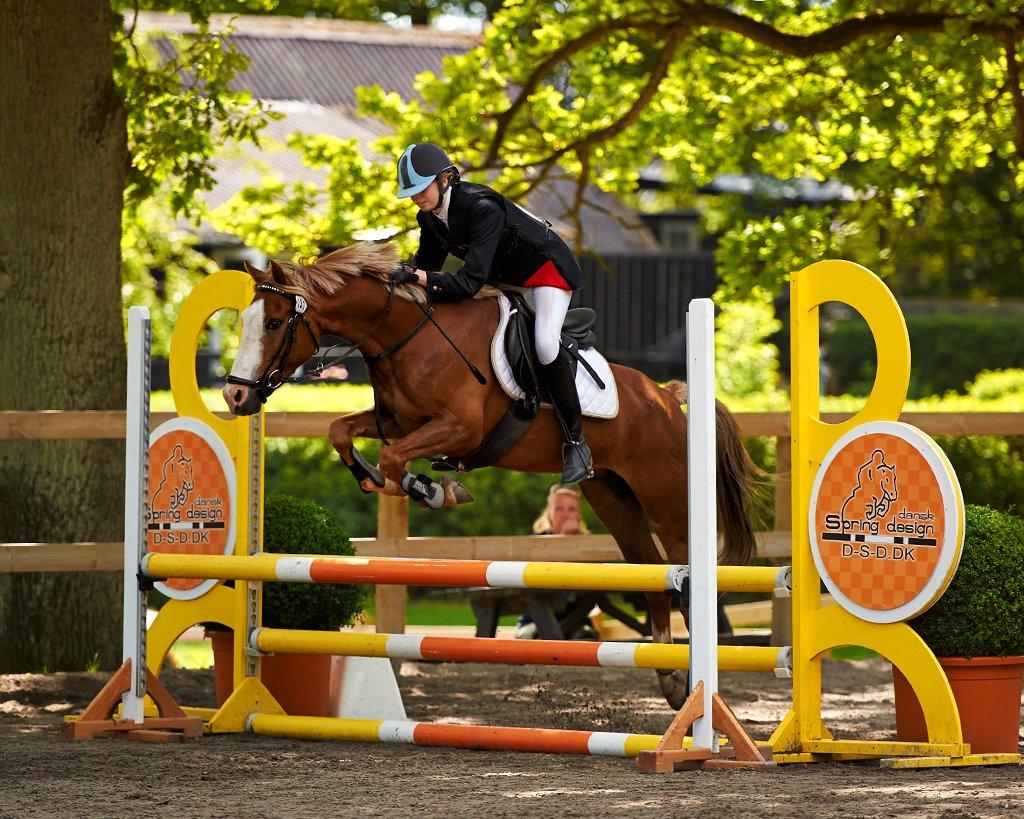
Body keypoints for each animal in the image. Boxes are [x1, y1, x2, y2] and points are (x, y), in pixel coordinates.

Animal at [222, 239, 761, 708]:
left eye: (274, 323)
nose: (234, 396)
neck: (404, 333)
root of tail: (666, 398)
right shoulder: (396, 423)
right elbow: (340, 431)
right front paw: (375, 478)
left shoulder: (458, 428)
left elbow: (397, 460)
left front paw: (435, 489)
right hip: (614, 500)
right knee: (653, 575)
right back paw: (670, 679)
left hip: (665, 499)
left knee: (685, 577)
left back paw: (699, 688)